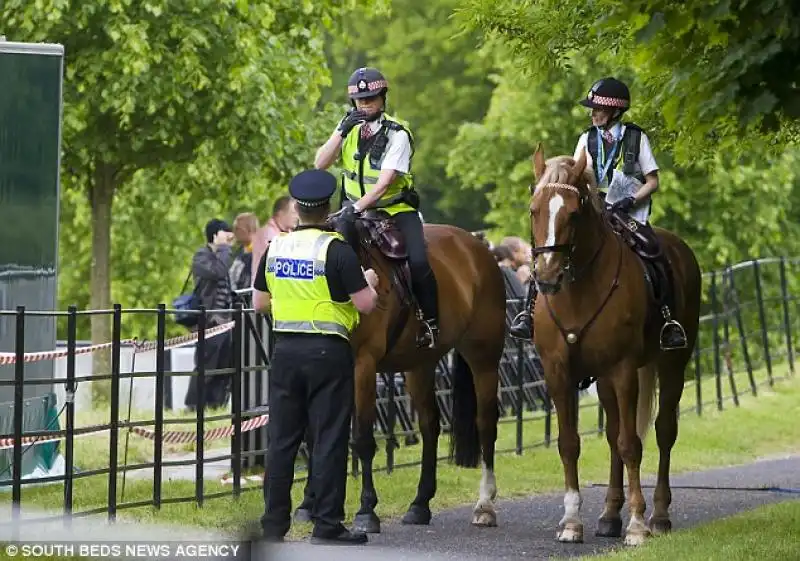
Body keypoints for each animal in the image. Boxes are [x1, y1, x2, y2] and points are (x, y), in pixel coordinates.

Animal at [294, 212, 506, 532]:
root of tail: (478, 248)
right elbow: (316, 437)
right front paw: (308, 505)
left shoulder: (363, 365)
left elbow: (363, 439)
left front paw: (366, 511)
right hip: (419, 366)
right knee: (430, 425)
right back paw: (420, 504)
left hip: (483, 360)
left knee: (485, 425)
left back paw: (485, 505)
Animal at [528, 147, 704, 544]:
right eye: (534, 209)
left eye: (573, 214)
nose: (546, 276)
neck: (578, 290)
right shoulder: (559, 373)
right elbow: (570, 443)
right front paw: (571, 522)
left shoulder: (623, 369)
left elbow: (631, 444)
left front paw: (637, 525)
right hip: (605, 379)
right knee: (611, 437)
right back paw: (609, 515)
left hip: (671, 364)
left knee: (663, 431)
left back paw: (659, 516)